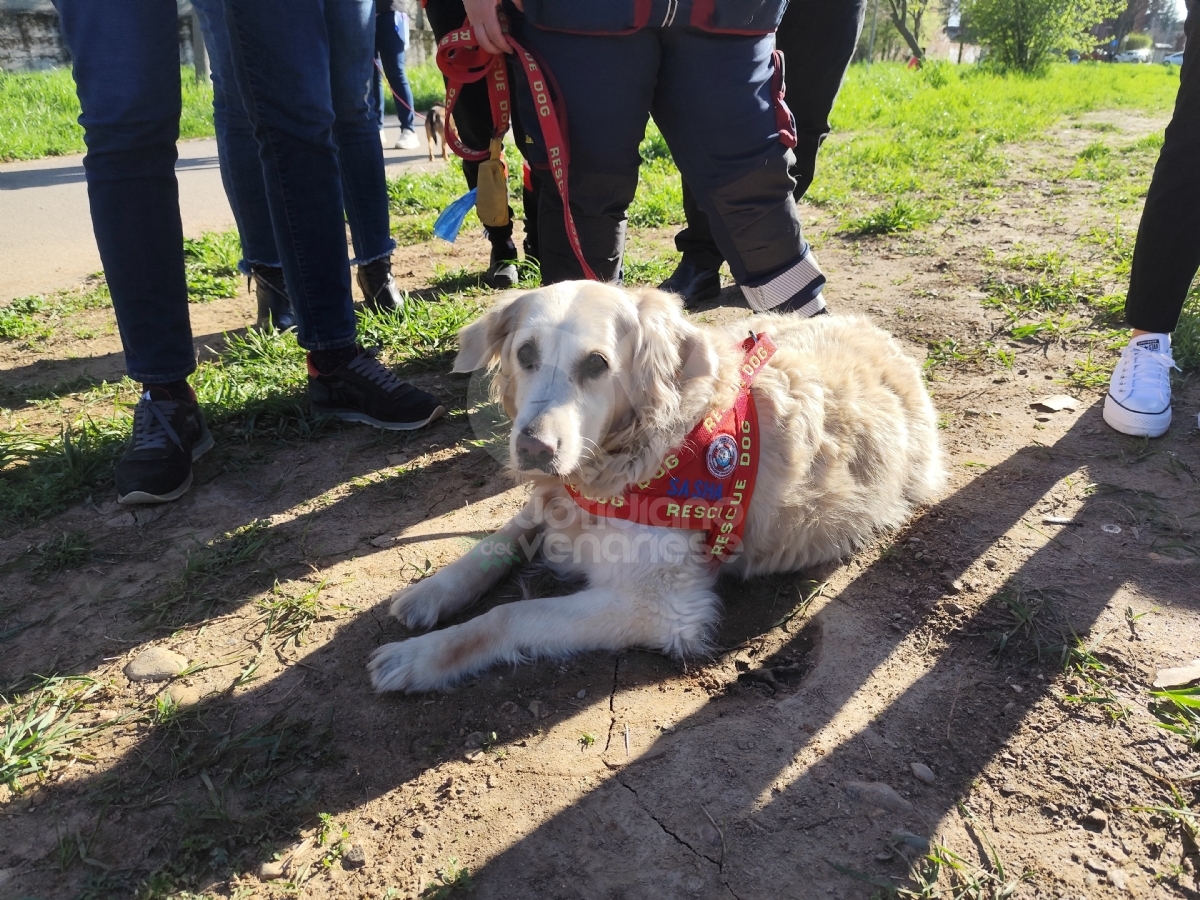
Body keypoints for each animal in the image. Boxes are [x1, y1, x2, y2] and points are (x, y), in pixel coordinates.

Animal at [367, 285, 945, 696]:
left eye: (596, 364)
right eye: (525, 353)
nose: (533, 448)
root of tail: (880, 334)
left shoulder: (663, 608)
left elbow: (510, 615)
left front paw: (418, 657)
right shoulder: (553, 504)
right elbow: (495, 542)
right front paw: (431, 593)